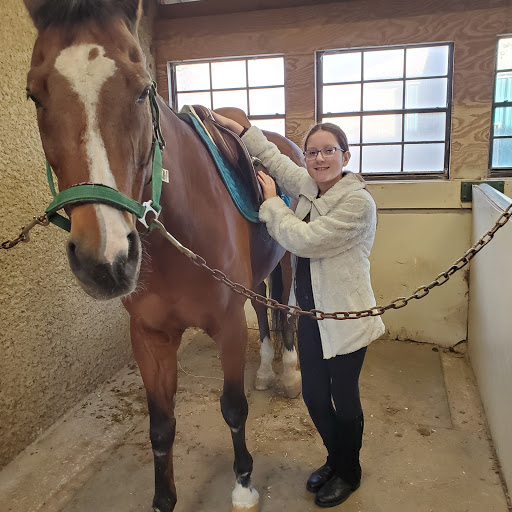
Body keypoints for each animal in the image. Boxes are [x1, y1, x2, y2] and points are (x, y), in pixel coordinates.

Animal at [23, 2, 304, 510]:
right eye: (34, 95)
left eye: (142, 90)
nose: (106, 259)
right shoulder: (150, 338)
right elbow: (160, 428)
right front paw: (163, 499)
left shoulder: (227, 326)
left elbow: (233, 408)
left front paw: (244, 484)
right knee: (262, 307)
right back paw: (265, 371)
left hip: (287, 261)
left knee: (285, 310)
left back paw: (289, 375)